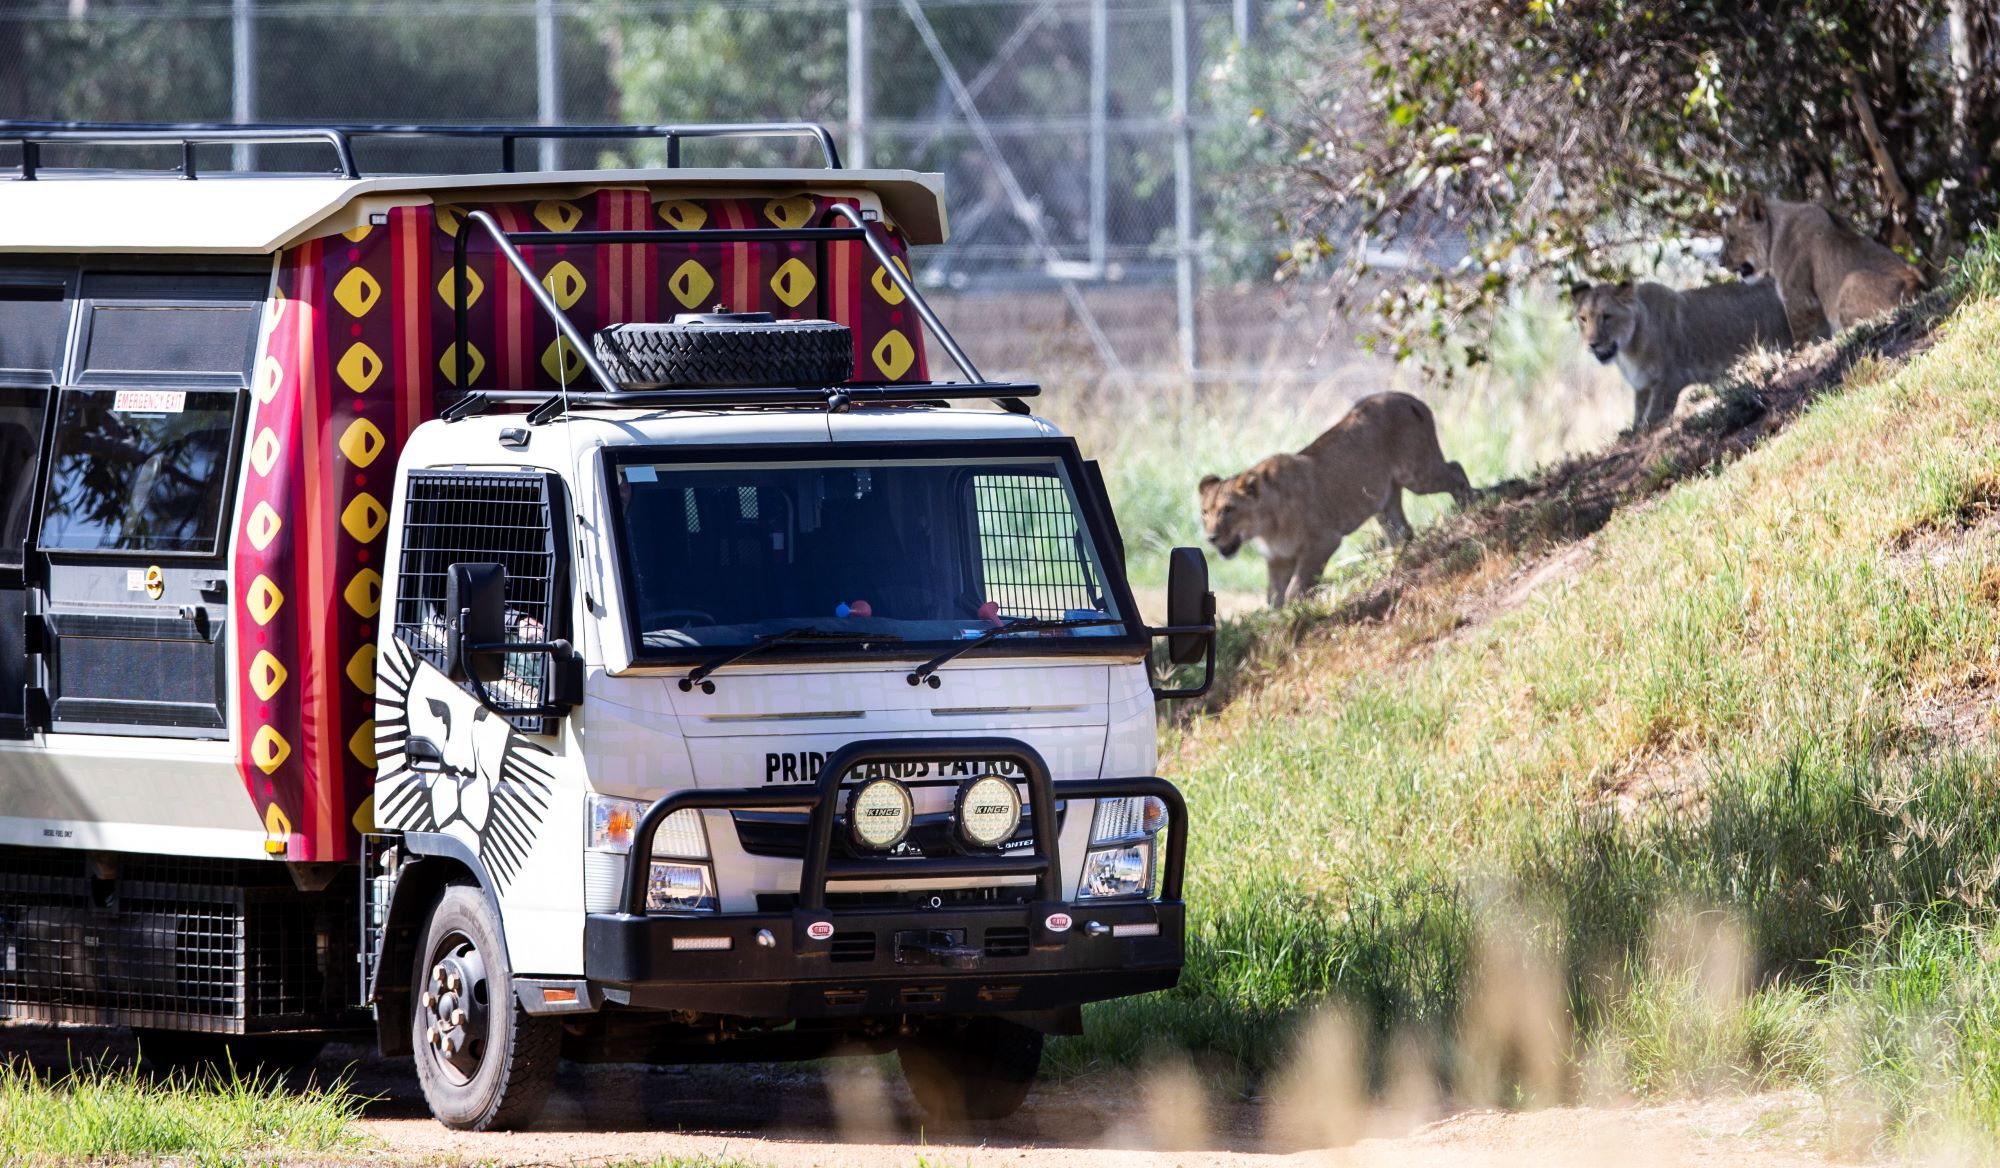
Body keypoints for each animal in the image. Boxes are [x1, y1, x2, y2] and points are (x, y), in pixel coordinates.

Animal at [1198, 392, 1472, 608]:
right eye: (1205, 512)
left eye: (1228, 509)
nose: (1211, 538)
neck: (1265, 525)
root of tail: (1410, 398)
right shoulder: (1278, 559)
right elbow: (1273, 598)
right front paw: (1278, 626)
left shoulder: (1323, 541)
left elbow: (1297, 587)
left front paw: (1300, 612)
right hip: (1384, 498)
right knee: (1402, 530)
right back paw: (1397, 561)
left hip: (1417, 473)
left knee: (1457, 469)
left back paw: (1468, 505)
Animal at [1571, 279, 1792, 430]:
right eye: (1583, 318)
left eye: (1607, 316)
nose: (1592, 344)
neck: (1628, 350)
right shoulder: (1642, 385)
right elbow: (1637, 415)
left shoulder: (1671, 379)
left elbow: (1651, 417)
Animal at [1718, 193, 1925, 341]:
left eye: (1731, 239)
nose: (1720, 262)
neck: (1774, 232)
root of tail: (1917, 286)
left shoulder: (1799, 300)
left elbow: (1801, 340)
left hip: (1851, 280)